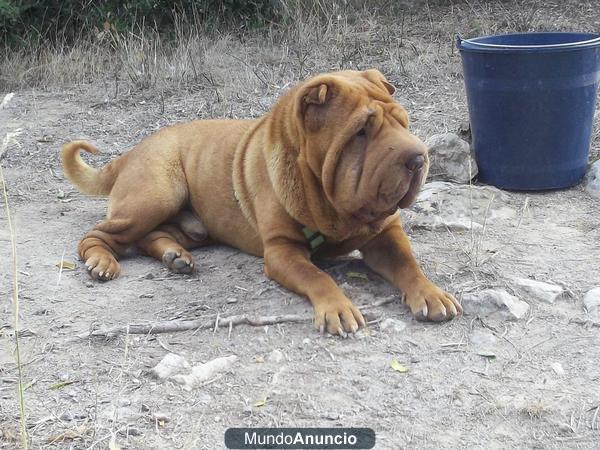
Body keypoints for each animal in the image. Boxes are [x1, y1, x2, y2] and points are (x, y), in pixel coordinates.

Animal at [61, 69, 462, 334]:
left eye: (402, 121)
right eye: (362, 131)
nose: (419, 158)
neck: (329, 202)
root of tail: (129, 153)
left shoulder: (386, 233)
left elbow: (409, 264)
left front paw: (432, 294)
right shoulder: (282, 250)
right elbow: (317, 276)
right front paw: (337, 307)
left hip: (188, 223)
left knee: (150, 236)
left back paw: (176, 257)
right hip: (156, 194)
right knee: (97, 235)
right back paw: (102, 263)